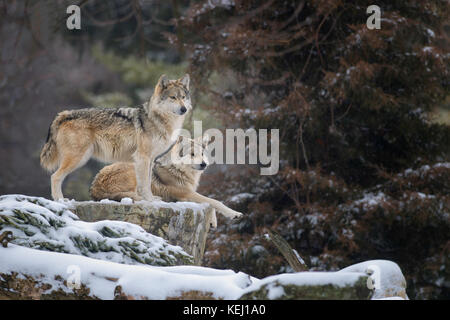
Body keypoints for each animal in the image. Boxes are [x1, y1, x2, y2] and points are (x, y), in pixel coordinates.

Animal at [40, 74, 192, 201]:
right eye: (173, 97)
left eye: (183, 97)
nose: (184, 109)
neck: (158, 119)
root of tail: (65, 114)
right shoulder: (142, 157)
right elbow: (144, 184)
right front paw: (149, 200)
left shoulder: (150, 159)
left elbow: (148, 182)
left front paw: (151, 198)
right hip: (78, 158)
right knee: (55, 176)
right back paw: (60, 200)